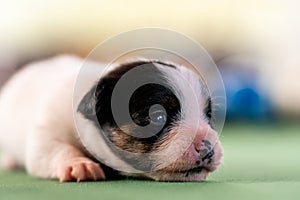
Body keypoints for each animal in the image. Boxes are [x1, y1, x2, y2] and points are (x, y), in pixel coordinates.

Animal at [0, 55, 223, 182]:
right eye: (158, 117)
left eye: (208, 115)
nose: (207, 148)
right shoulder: (46, 133)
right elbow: (55, 149)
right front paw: (78, 164)